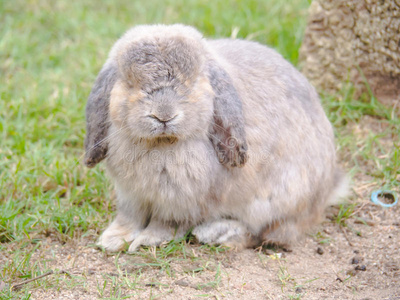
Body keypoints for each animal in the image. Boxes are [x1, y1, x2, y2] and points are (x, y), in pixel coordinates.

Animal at [84, 24, 346, 253]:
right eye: (130, 83)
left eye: (190, 83)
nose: (164, 115)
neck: (163, 143)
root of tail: (327, 189)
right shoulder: (131, 196)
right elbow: (130, 218)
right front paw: (112, 240)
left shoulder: (178, 202)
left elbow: (164, 224)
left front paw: (146, 242)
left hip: (275, 202)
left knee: (268, 235)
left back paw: (216, 233)